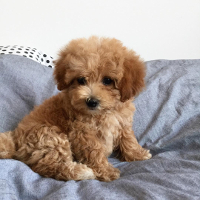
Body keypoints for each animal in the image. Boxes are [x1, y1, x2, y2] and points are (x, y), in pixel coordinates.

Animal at [0, 36, 151, 181]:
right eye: (81, 80)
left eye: (107, 80)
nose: (91, 101)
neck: (103, 113)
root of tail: (15, 139)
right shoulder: (83, 134)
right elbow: (95, 152)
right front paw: (106, 171)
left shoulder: (123, 123)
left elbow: (128, 139)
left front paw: (138, 154)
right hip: (49, 137)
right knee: (47, 166)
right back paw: (81, 172)